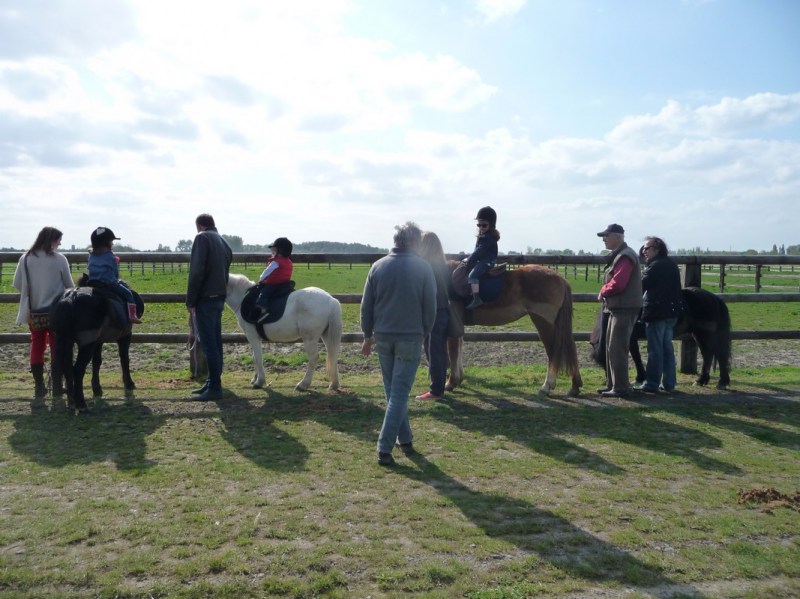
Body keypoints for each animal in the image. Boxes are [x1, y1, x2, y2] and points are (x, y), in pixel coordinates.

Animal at [49, 276, 143, 412]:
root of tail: (70, 298)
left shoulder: (98, 341)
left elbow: (97, 362)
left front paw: (97, 388)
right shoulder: (125, 336)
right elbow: (124, 359)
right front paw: (129, 383)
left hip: (64, 340)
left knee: (65, 367)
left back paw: (71, 404)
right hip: (87, 344)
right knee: (77, 370)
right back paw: (82, 404)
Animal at [444, 264, 580, 398]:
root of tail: (561, 279)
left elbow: (453, 352)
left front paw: (451, 382)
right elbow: (459, 348)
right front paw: (458, 379)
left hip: (544, 322)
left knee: (553, 352)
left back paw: (546, 387)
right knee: (570, 347)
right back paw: (575, 387)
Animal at [588, 288, 732, 392]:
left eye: (606, 360)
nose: (608, 381)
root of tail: (715, 299)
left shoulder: (631, 338)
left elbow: (636, 356)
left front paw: (640, 377)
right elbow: (635, 355)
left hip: (704, 334)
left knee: (712, 354)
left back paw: (709, 381)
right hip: (700, 334)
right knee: (714, 355)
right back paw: (710, 381)